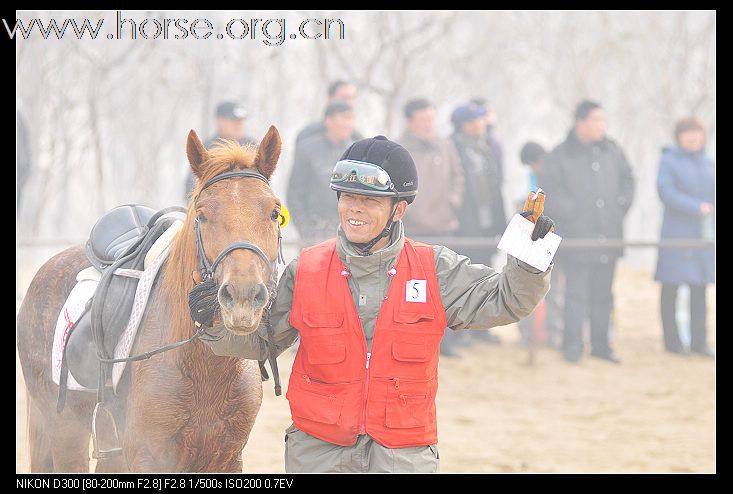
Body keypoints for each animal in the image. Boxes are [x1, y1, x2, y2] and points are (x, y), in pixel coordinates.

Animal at [15, 126, 284, 470]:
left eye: (274, 212)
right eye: (202, 215)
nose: (243, 296)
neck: (203, 366)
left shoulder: (226, 456)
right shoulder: (149, 455)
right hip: (65, 431)